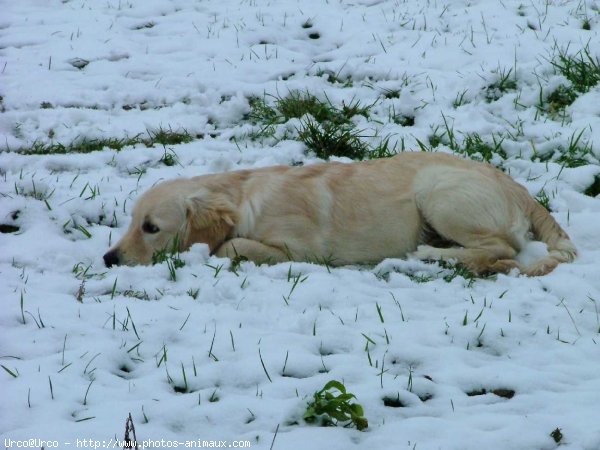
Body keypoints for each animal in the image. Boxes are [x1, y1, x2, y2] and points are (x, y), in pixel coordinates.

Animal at [102, 153, 576, 276]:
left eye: (151, 228)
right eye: (131, 222)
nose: (108, 259)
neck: (243, 198)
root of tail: (519, 188)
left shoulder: (301, 251)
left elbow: (229, 246)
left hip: (440, 195)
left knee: (500, 248)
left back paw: (429, 256)